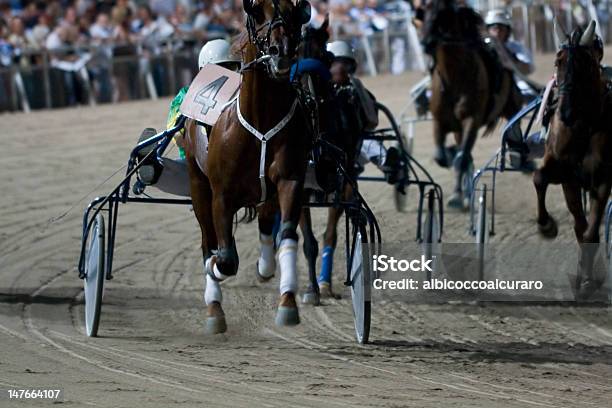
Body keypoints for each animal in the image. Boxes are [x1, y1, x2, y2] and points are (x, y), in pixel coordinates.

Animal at [183, 0, 310, 334]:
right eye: (255, 10)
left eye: (296, 9)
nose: (281, 51)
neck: (260, 121)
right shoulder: (221, 196)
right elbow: (225, 258)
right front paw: (215, 271)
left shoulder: (290, 180)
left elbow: (288, 236)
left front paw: (288, 304)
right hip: (197, 185)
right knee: (208, 241)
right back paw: (214, 307)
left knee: (267, 222)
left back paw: (265, 265)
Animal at [420, 0, 520, 209]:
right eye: (423, 11)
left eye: (443, 12)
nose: (426, 42)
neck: (454, 77)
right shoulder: (439, 121)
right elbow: (443, 157)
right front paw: (458, 193)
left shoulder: (471, 121)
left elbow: (461, 159)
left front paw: (458, 196)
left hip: (511, 104)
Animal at [532, 19, 608, 300]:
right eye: (558, 61)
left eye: (586, 64)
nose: (564, 112)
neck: (582, 127)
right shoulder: (565, 174)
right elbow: (539, 177)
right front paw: (546, 226)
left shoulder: (602, 180)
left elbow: (591, 232)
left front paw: (588, 280)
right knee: (578, 224)